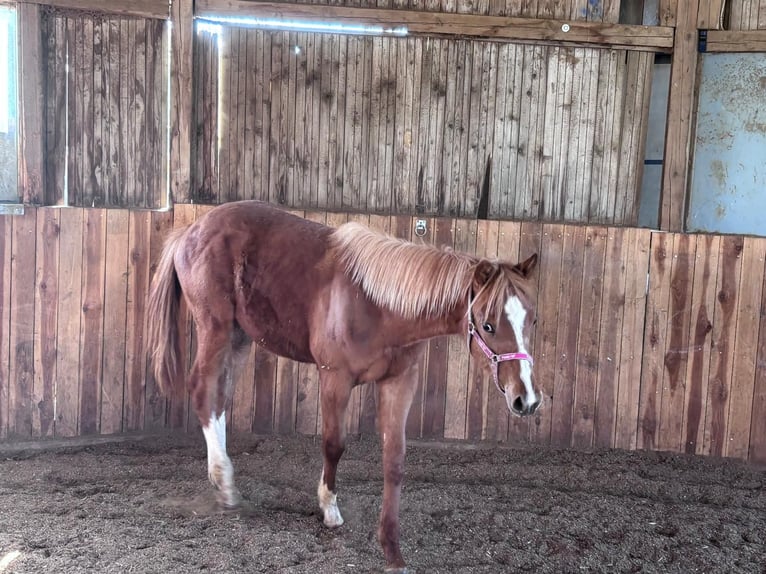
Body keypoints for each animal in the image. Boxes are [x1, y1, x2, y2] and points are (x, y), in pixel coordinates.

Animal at [146, 200, 541, 573]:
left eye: (532, 320)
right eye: (488, 325)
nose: (527, 399)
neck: (379, 305)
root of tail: (190, 231)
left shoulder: (399, 382)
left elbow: (394, 460)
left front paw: (392, 551)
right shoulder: (335, 377)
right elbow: (334, 445)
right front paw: (329, 509)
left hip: (240, 336)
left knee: (220, 398)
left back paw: (224, 478)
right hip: (216, 329)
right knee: (203, 390)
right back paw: (225, 486)